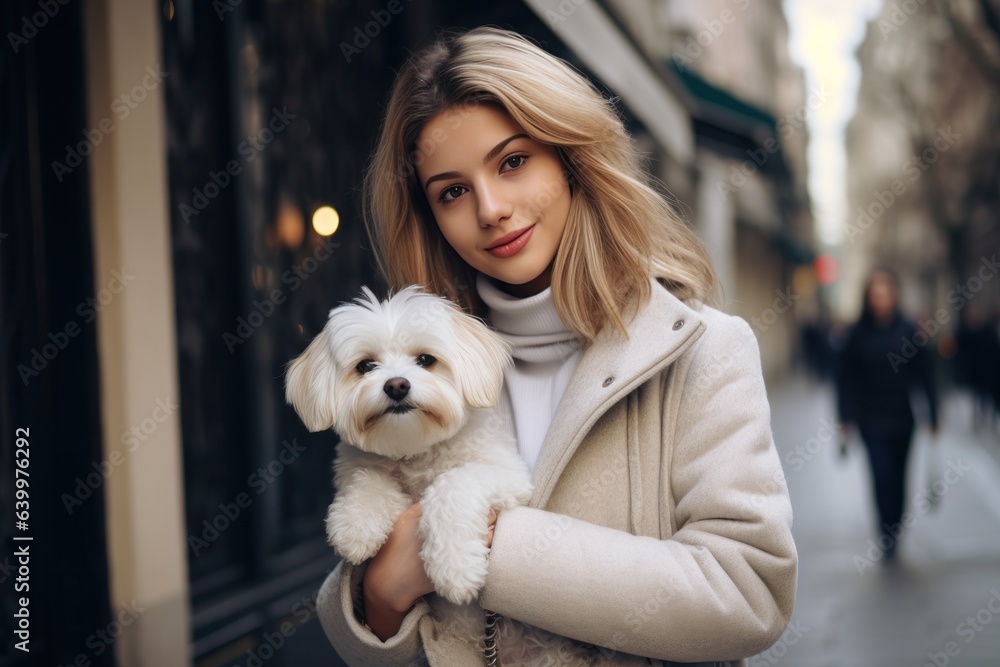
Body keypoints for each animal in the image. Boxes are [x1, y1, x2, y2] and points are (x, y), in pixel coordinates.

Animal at [284, 288, 532, 612]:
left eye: (426, 360)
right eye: (365, 366)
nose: (396, 385)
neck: (416, 449)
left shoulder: (512, 477)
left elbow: (455, 482)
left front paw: (456, 567)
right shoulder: (355, 466)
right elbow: (367, 479)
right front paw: (356, 523)